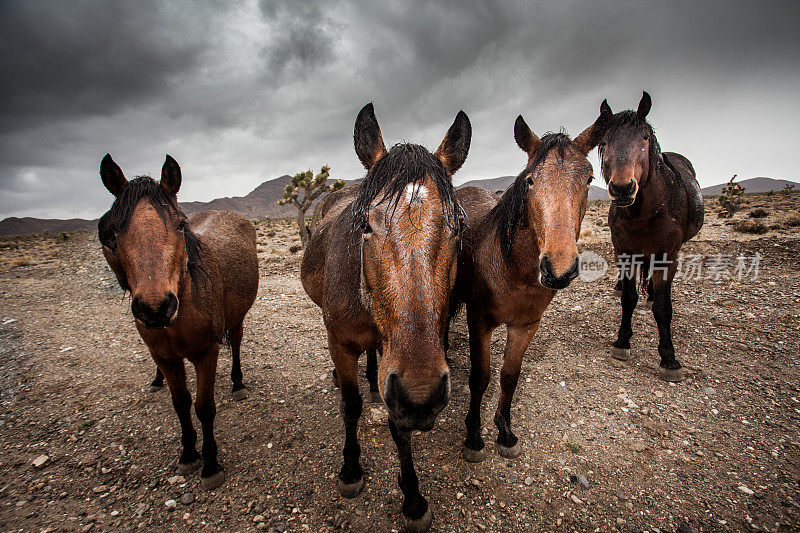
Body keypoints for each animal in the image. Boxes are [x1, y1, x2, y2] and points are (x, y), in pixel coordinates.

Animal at [98, 153, 258, 486]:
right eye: (115, 230)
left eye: (181, 224)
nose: (155, 307)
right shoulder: (165, 357)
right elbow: (181, 404)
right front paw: (188, 453)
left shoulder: (205, 353)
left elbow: (204, 407)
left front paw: (210, 464)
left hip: (237, 317)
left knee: (236, 343)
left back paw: (237, 383)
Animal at [300, 104, 468, 532]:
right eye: (364, 225)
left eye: (459, 227)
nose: (421, 396)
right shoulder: (342, 344)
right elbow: (350, 406)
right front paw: (350, 469)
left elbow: (399, 427)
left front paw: (413, 498)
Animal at [454, 108, 608, 462]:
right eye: (529, 180)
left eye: (589, 179)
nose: (558, 270)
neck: (513, 270)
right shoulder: (479, 320)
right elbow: (480, 378)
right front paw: (473, 436)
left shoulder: (526, 324)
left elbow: (509, 376)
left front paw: (505, 431)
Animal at [596, 92, 704, 382]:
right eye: (604, 142)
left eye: (644, 137)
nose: (622, 188)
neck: (642, 214)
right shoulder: (623, 251)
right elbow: (628, 298)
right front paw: (622, 342)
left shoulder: (667, 255)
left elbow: (664, 309)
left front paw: (669, 358)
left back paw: (654, 295)